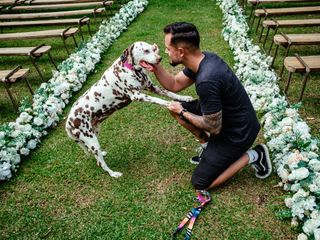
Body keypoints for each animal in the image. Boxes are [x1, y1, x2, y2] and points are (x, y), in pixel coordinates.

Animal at [65, 41, 192, 177]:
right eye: (146, 51)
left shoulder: (152, 87)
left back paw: (102, 154)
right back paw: (113, 174)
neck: (130, 69)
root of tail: (68, 122)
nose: (160, 58)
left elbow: (170, 93)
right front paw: (170, 104)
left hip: (94, 134)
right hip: (91, 139)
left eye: (153, 49)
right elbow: (159, 100)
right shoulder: (138, 96)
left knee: (97, 157)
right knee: (101, 164)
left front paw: (185, 98)